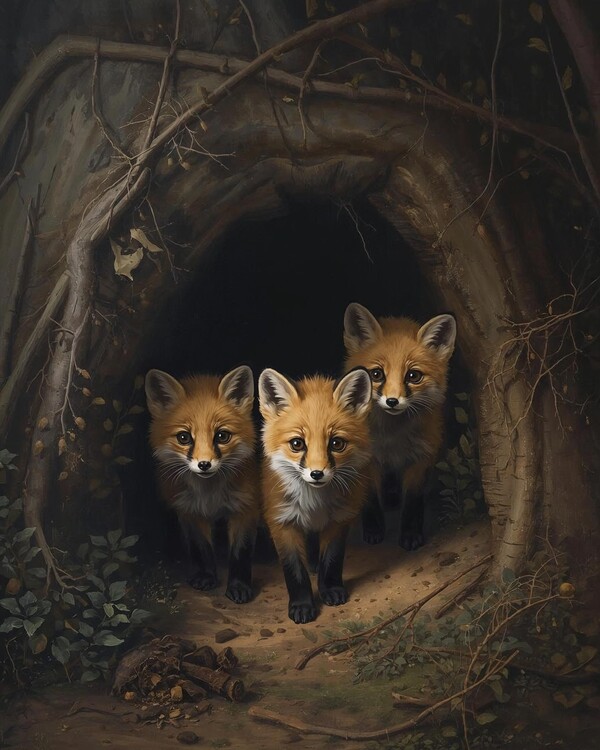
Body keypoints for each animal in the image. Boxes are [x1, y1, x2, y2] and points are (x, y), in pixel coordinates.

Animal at [145, 365, 259, 603]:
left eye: (222, 436)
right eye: (184, 437)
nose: (204, 464)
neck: (210, 495)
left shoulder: (246, 507)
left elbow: (240, 553)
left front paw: (239, 586)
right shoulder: (188, 511)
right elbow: (201, 548)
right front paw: (206, 577)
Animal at [258, 367, 372, 624]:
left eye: (337, 443)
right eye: (297, 443)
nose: (317, 473)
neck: (314, 504)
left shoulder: (340, 518)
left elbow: (332, 560)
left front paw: (330, 589)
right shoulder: (281, 522)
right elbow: (294, 571)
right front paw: (302, 605)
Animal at [343, 303, 457, 551]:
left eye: (413, 376)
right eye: (377, 374)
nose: (392, 401)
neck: (392, 438)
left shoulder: (422, 456)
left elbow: (413, 502)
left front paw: (411, 534)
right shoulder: (367, 460)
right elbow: (370, 497)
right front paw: (374, 529)